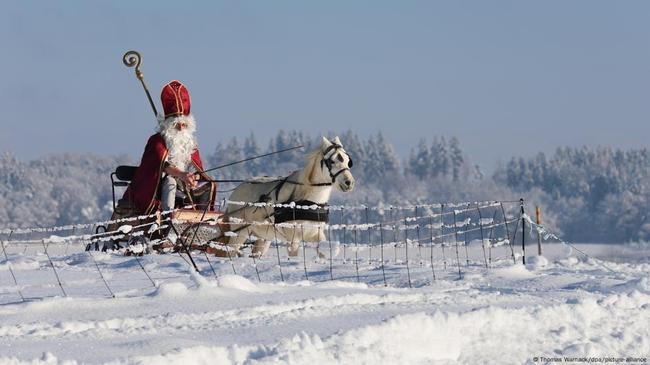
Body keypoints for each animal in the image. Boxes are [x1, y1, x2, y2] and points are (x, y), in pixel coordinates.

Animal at [223, 136, 354, 256]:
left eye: (348, 160)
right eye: (332, 161)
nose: (349, 182)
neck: (309, 201)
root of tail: (236, 190)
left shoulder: (315, 233)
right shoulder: (293, 238)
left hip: (264, 237)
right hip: (239, 232)